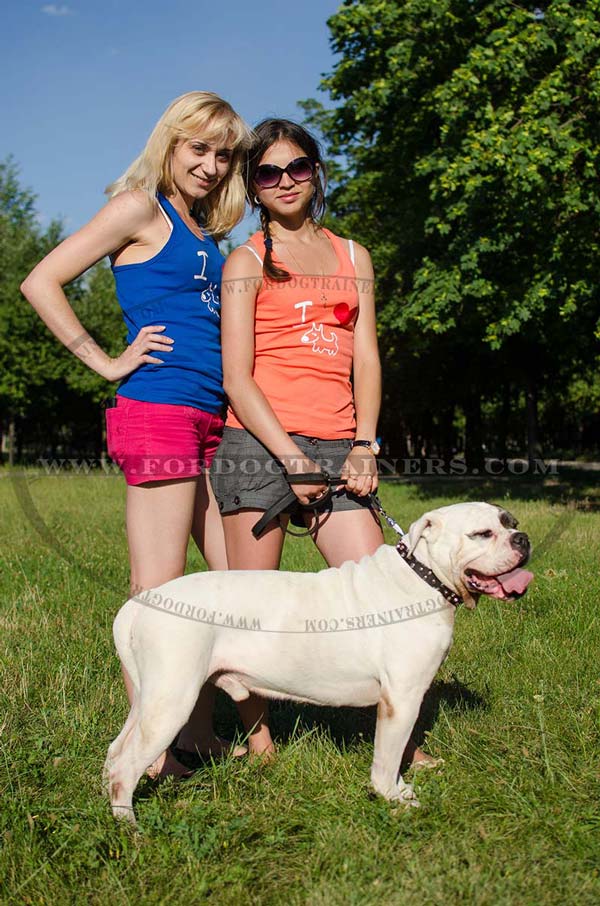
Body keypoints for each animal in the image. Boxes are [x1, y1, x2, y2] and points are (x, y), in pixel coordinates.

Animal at [105, 498, 532, 824]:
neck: (423, 576)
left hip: (149, 699)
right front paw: (393, 798)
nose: (523, 538)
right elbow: (387, 757)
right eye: (482, 534)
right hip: (170, 701)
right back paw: (132, 830)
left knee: (115, 754)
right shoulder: (402, 699)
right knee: (126, 768)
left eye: (510, 522)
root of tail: (143, 603)